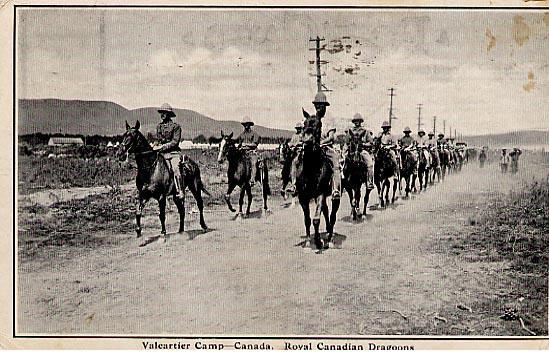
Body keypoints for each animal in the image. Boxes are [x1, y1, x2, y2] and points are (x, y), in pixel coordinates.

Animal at [296, 110, 338, 250]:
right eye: (304, 123)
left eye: (319, 124)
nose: (307, 140)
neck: (312, 169)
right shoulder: (303, 197)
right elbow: (307, 219)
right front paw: (309, 241)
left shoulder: (320, 194)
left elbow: (316, 219)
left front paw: (319, 242)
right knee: (325, 211)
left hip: (335, 194)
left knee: (333, 215)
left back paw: (330, 239)